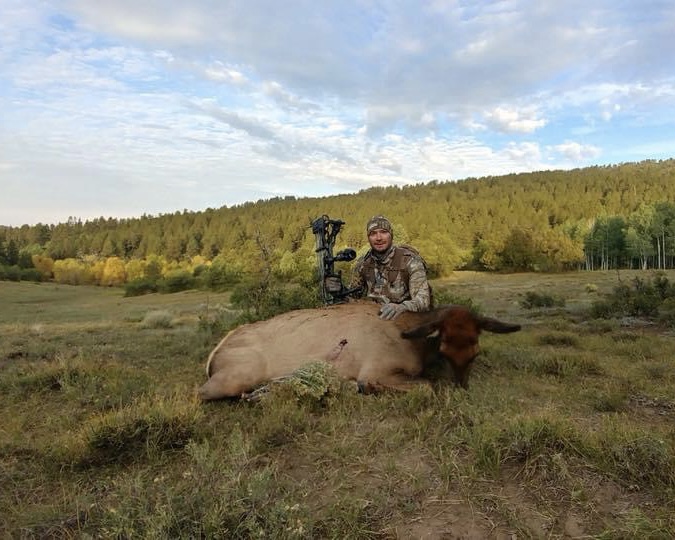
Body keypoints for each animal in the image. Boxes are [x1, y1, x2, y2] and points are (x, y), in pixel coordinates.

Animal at [197, 302, 521, 400]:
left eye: (475, 351)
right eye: (443, 346)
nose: (462, 387)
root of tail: (216, 351)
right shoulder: (376, 369)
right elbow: (426, 386)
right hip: (238, 372)